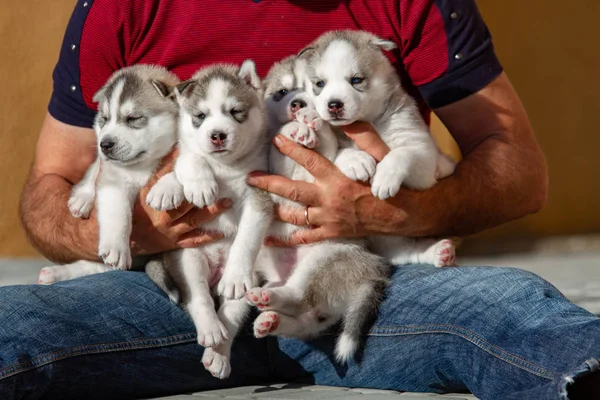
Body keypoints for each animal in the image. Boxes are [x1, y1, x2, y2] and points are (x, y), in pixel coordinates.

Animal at [39, 64, 179, 284]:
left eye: (133, 118)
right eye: (104, 119)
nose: (104, 144)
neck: (144, 165)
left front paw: (166, 189)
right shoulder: (115, 178)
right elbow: (117, 211)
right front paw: (116, 248)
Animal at [246, 54, 392, 364]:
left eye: (316, 87)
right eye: (282, 92)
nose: (298, 105)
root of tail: (373, 275)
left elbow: (325, 141)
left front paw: (310, 124)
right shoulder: (280, 169)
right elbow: (281, 142)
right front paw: (296, 128)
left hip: (324, 258)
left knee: (300, 297)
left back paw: (270, 303)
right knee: (305, 320)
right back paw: (270, 319)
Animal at [302, 30, 458, 268]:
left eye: (356, 80)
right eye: (320, 83)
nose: (334, 104)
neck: (368, 121)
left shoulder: (423, 158)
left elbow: (402, 152)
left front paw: (385, 177)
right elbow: (337, 152)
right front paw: (356, 160)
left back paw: (439, 251)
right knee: (405, 253)